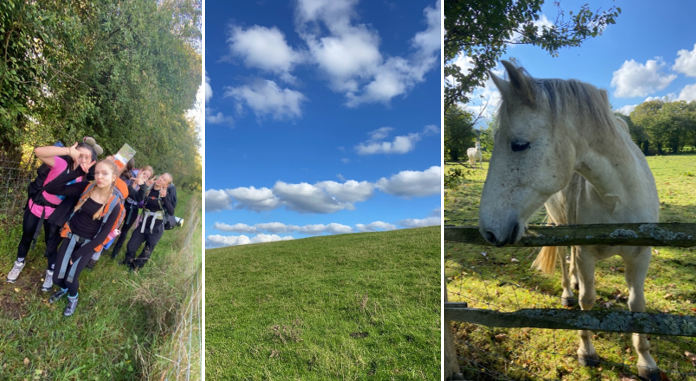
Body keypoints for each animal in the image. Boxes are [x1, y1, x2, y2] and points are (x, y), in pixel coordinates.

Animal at [478, 60, 656, 378]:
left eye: (519, 145)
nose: (488, 231)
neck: (618, 199)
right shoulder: (586, 253)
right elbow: (588, 299)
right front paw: (587, 351)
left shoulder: (640, 255)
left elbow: (637, 305)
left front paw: (646, 361)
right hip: (561, 227)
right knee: (564, 260)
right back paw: (567, 291)